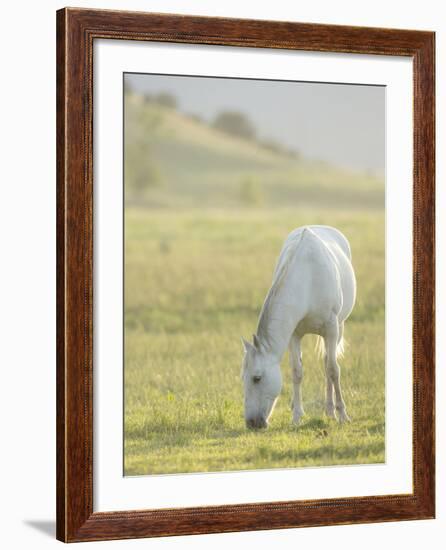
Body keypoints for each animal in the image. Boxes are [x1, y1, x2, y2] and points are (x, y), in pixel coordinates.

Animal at [242, 225, 358, 432]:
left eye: (257, 378)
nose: (251, 423)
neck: (308, 279)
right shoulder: (294, 335)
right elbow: (297, 372)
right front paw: (296, 416)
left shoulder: (331, 328)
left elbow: (333, 370)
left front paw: (343, 414)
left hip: (339, 328)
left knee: (328, 363)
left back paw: (331, 411)